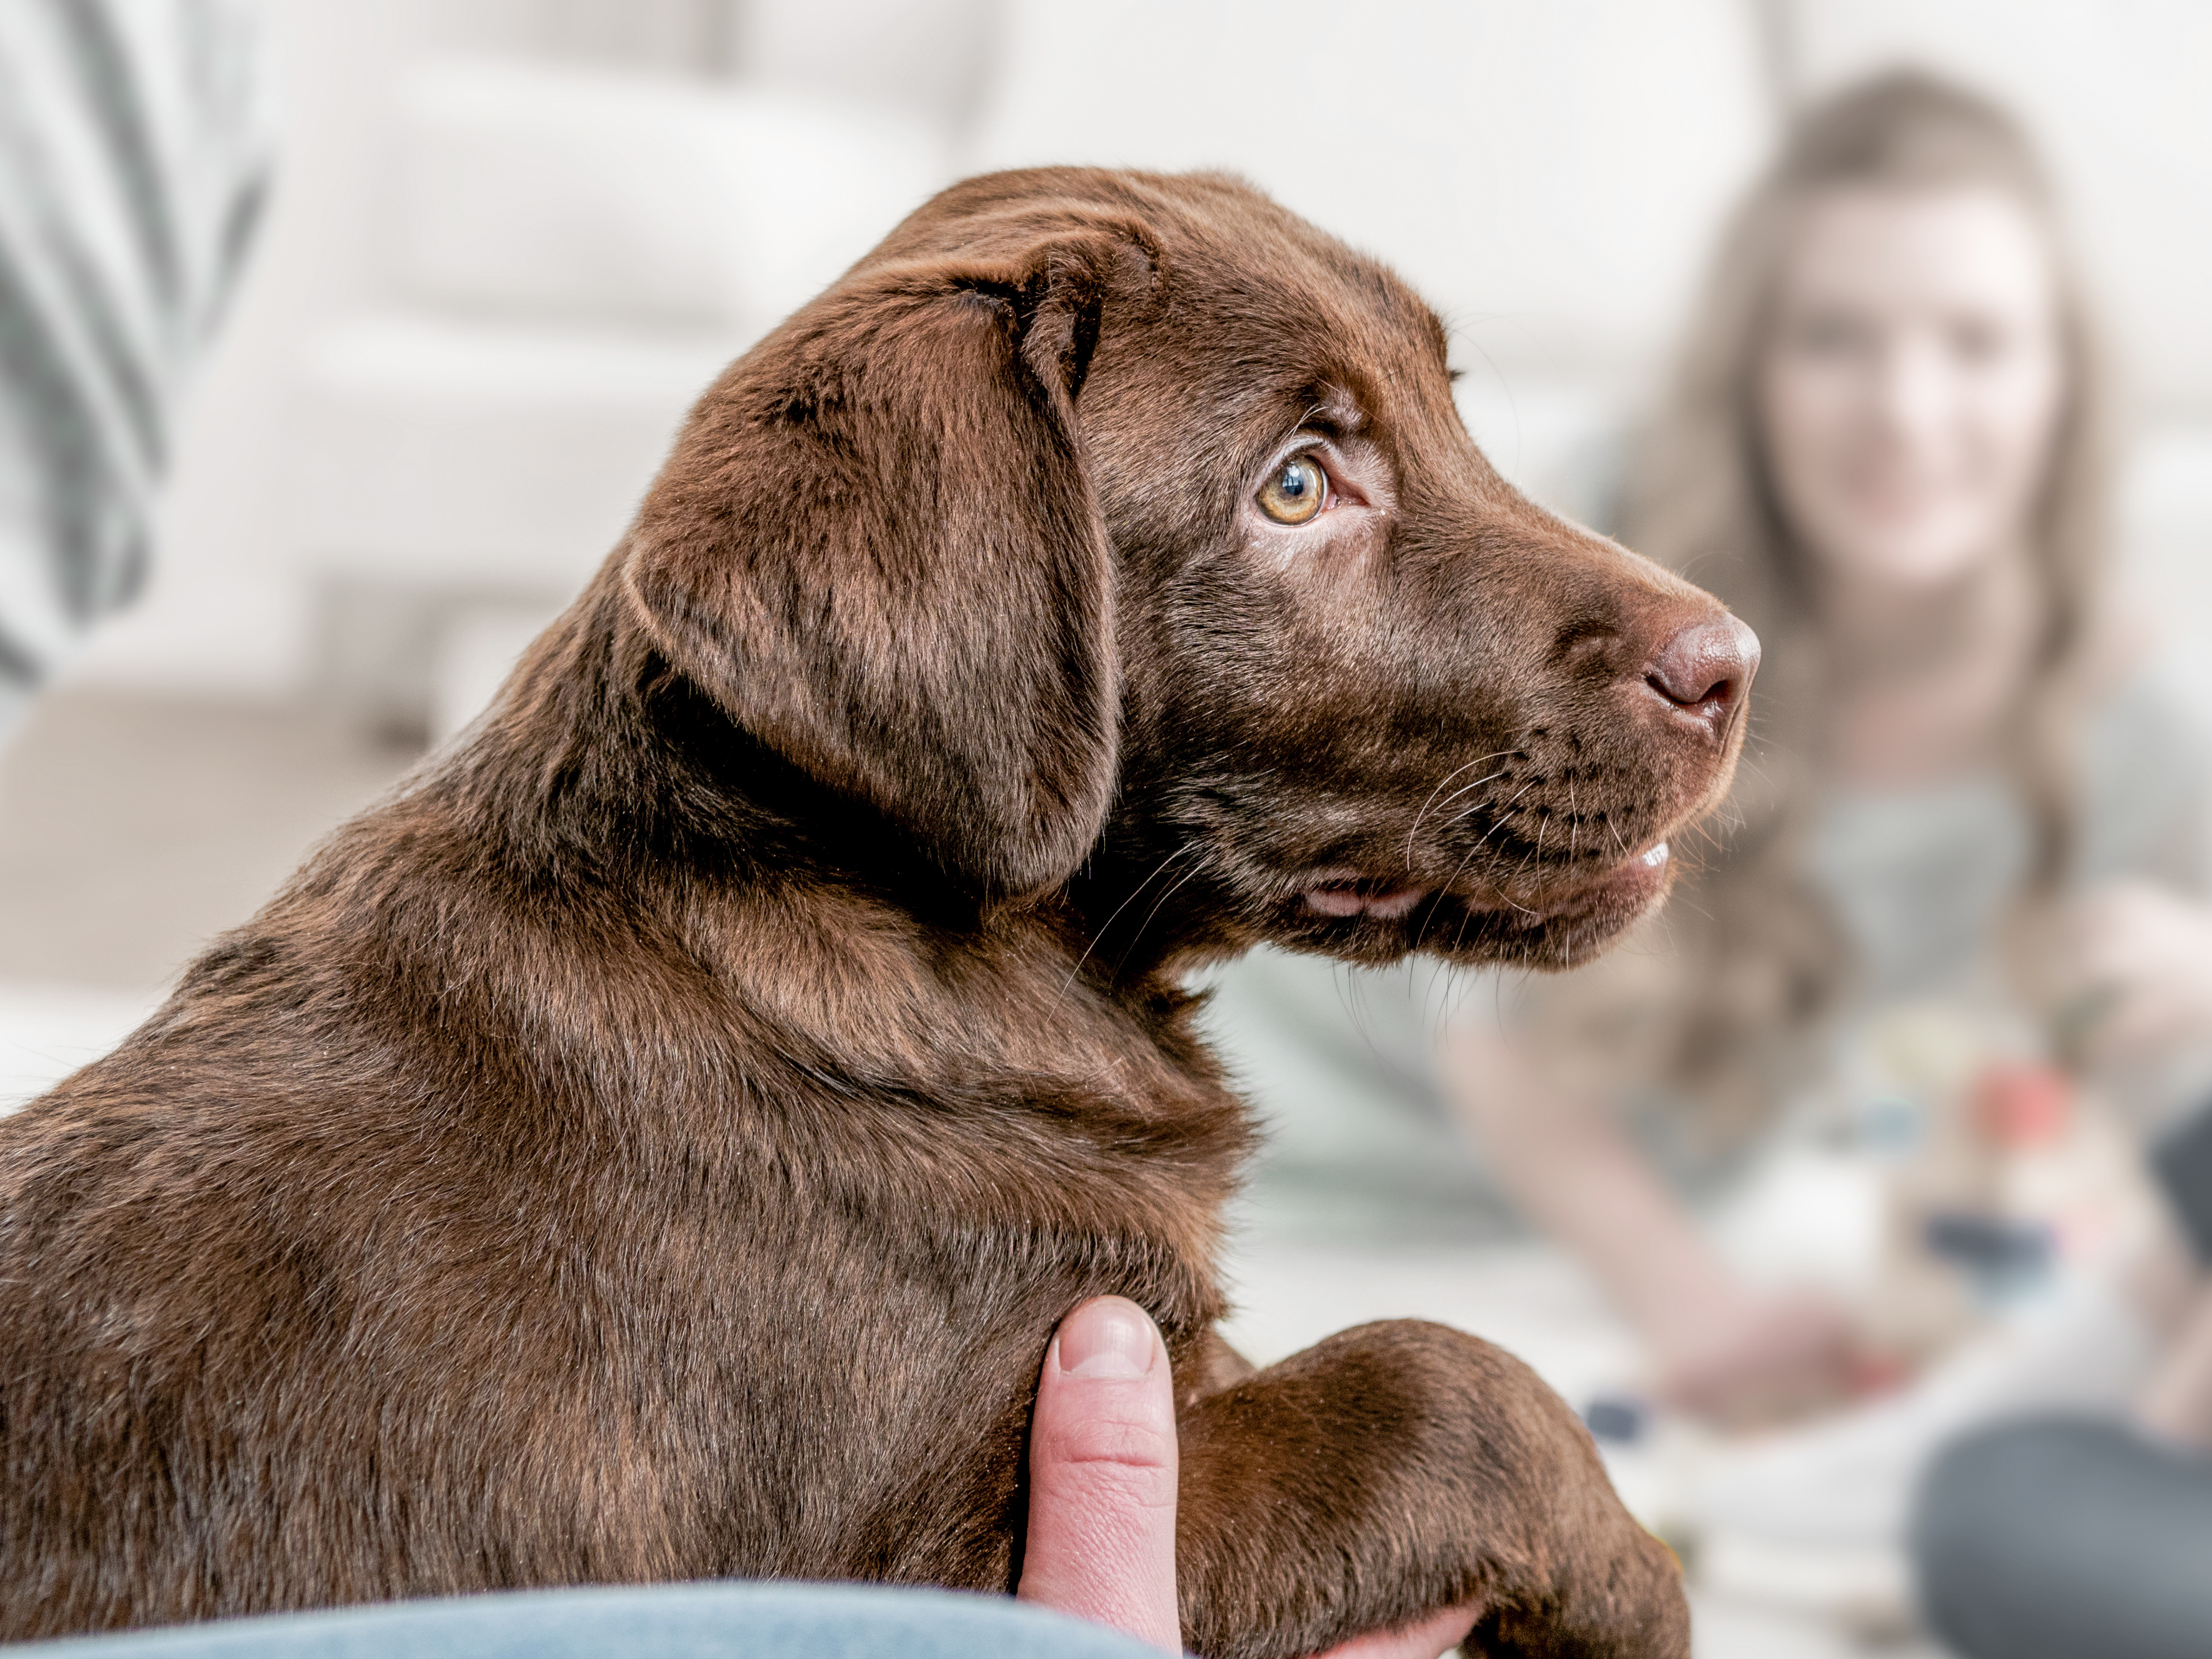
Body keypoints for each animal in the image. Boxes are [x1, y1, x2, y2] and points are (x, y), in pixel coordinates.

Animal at [4, 176, 1760, 1654]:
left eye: (1450, 409)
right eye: (1295, 487)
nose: (1733, 663)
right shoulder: (942, 1560)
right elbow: (1440, 1375)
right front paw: (1635, 1588)